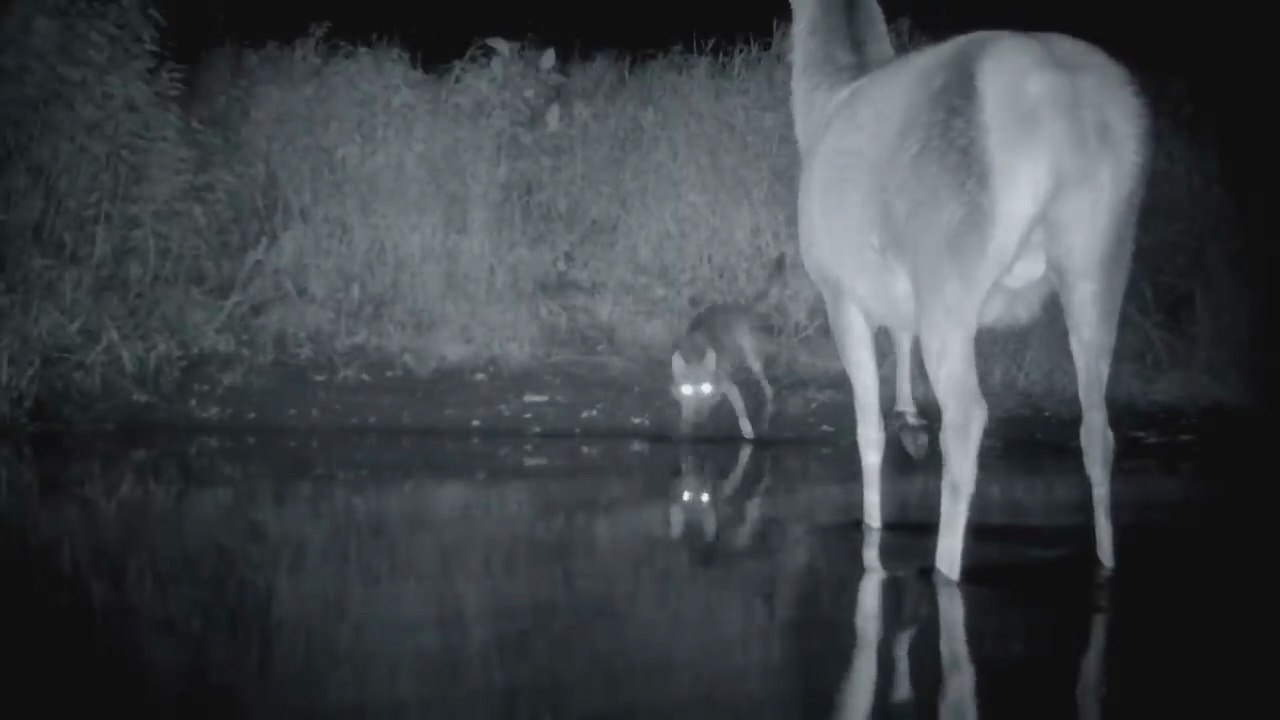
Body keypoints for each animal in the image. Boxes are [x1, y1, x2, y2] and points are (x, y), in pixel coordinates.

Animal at [670, 253, 788, 440]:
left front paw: (747, 431)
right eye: (686, 390)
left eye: (705, 387)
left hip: (753, 360)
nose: (698, 420)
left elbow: (741, 411)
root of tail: (740, 306)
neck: (695, 353)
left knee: (767, 385)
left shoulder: (729, 386)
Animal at [787, 0, 1152, 581]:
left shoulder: (837, 285)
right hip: (1104, 253)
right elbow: (902, 340)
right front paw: (910, 419)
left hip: (952, 264)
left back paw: (944, 565)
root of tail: (1064, 103)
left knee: (966, 417)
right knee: (1098, 427)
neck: (823, 101)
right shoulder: (897, 284)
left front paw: (872, 529)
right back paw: (1106, 559)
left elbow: (867, 429)